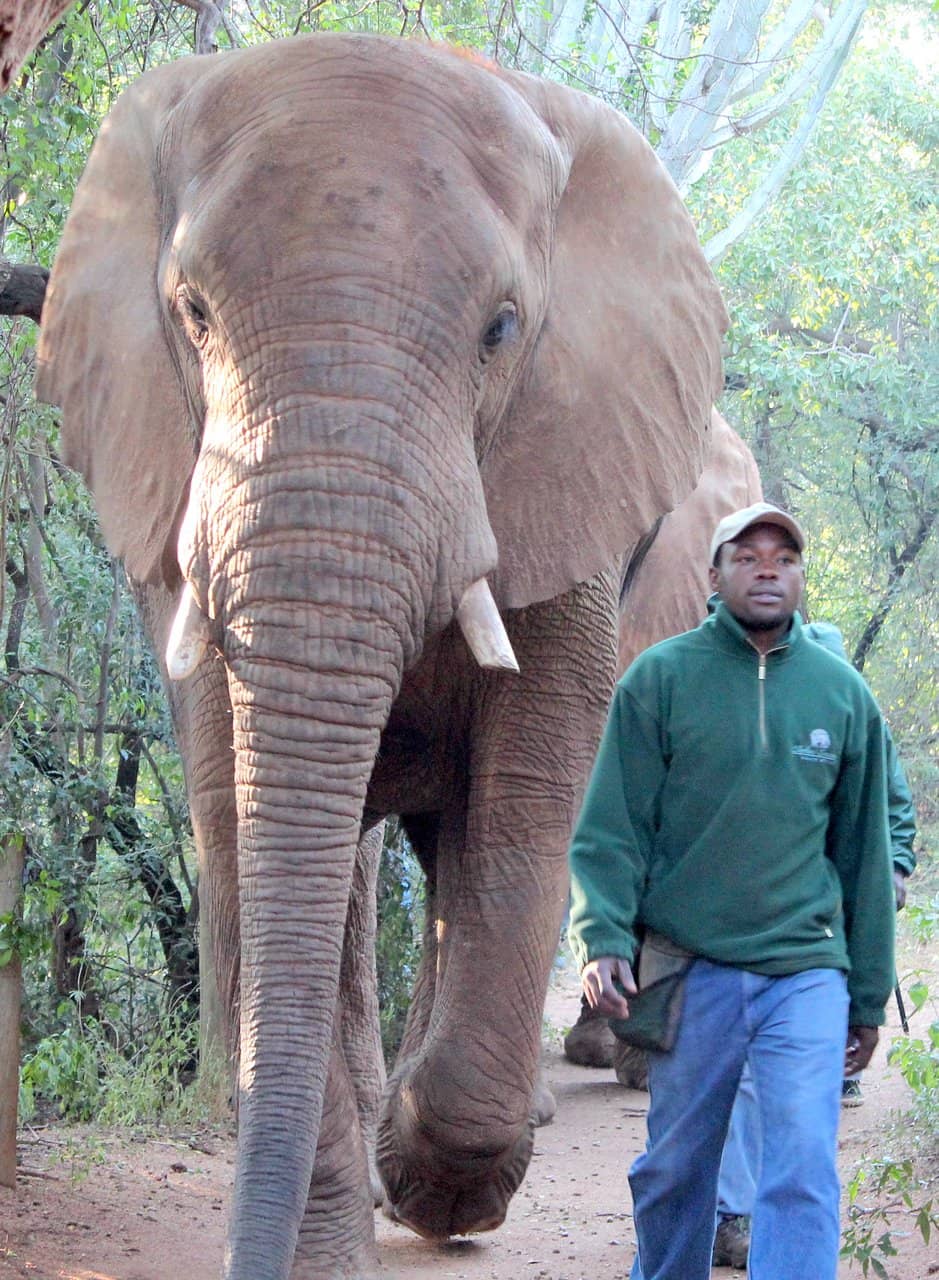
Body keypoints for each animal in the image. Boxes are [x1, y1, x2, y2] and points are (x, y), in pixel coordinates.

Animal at [35, 33, 726, 1280]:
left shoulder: (574, 469)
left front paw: (439, 1182)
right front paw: (344, 1221)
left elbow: (529, 799)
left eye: (504, 328)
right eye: (190, 310)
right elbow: (236, 804)